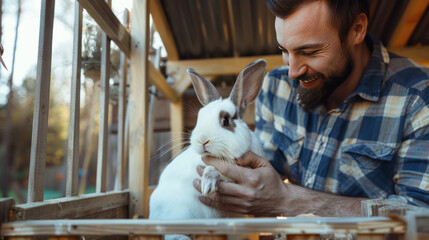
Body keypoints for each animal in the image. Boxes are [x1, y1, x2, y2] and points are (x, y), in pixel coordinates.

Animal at [149, 59, 266, 221]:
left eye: (225, 120)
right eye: (199, 117)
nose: (202, 140)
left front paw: (208, 184)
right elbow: (211, 168)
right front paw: (208, 184)